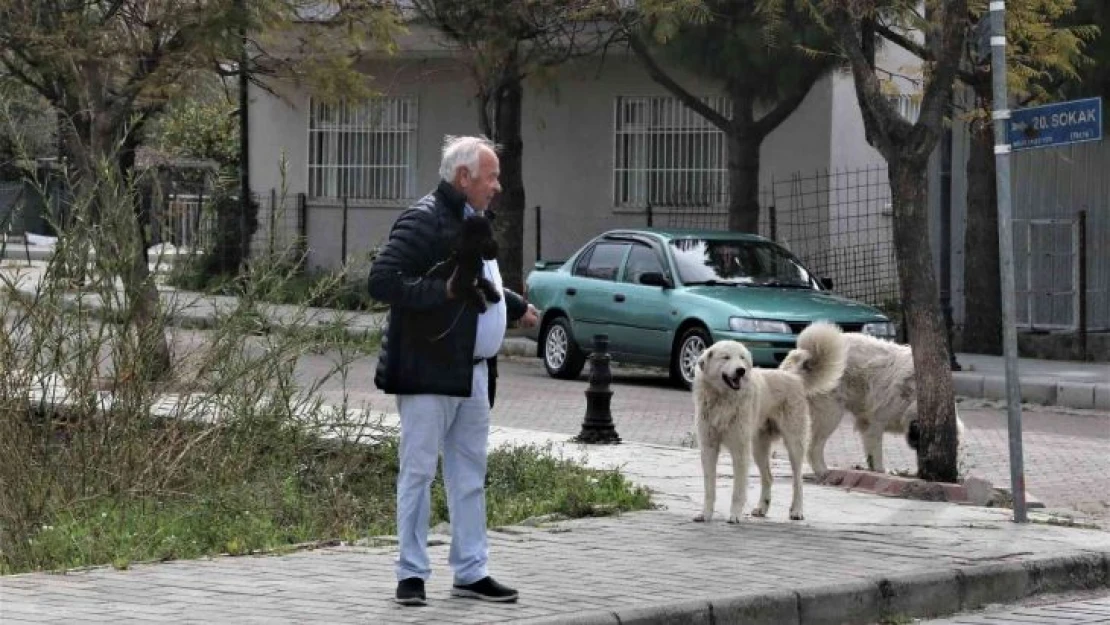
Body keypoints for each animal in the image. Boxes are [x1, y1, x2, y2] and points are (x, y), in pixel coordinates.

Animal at [688, 321, 843, 523]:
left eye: (742, 358)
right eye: (726, 357)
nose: (741, 370)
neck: (723, 400)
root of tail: (794, 377)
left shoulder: (740, 450)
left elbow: (738, 489)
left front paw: (735, 515)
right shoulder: (708, 447)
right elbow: (709, 488)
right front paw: (705, 514)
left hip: (794, 445)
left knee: (798, 481)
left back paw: (797, 511)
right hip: (758, 448)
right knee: (768, 477)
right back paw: (762, 508)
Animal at [781, 333, 963, 475]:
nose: (922, 470)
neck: (913, 396)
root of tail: (804, 357)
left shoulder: (866, 421)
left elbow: (870, 451)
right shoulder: (876, 422)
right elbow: (876, 449)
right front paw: (881, 470)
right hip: (830, 413)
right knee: (814, 446)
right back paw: (822, 470)